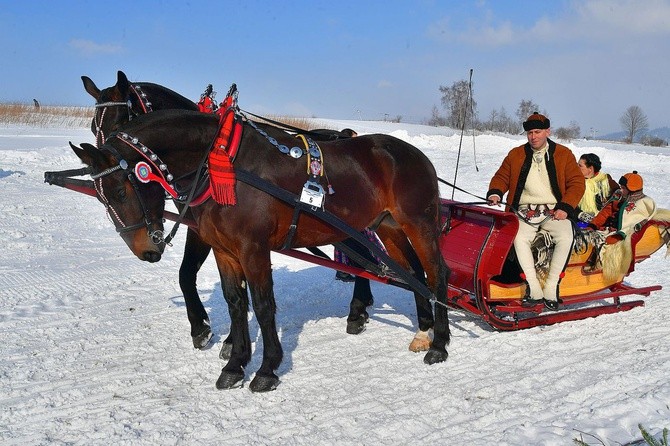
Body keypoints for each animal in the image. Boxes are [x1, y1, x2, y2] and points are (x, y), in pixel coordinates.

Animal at [71, 108, 454, 390]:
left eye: (120, 190)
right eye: (103, 197)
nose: (147, 250)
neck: (222, 165)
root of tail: (415, 155)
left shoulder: (253, 248)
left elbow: (263, 304)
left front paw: (267, 368)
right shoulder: (224, 250)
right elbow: (236, 303)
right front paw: (235, 364)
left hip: (419, 224)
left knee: (437, 274)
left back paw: (438, 344)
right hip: (387, 226)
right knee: (415, 273)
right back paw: (423, 331)